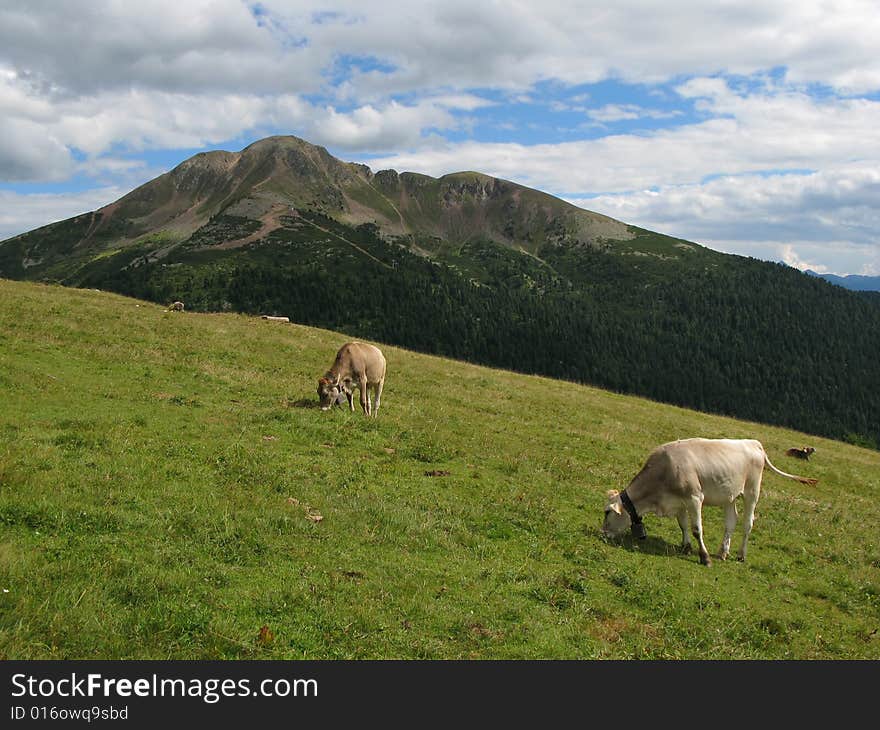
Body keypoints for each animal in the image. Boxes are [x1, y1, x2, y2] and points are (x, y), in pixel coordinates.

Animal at [600, 438, 820, 564]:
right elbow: (683, 525)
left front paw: (704, 557)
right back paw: (723, 551)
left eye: (607, 512)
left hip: (752, 492)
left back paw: (741, 555)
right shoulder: (678, 501)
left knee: (747, 523)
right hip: (729, 495)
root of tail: (754, 443)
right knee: (731, 522)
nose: (603, 533)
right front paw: (686, 547)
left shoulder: (694, 498)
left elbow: (697, 529)